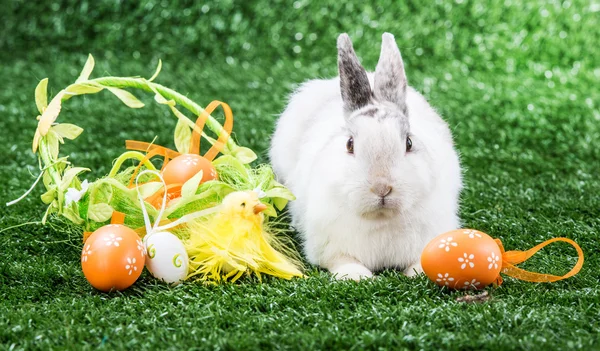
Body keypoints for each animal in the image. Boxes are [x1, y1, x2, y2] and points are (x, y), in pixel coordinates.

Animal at [270, 32, 462, 280]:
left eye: (409, 143)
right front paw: (356, 276)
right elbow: (342, 261)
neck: (380, 218)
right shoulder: (330, 246)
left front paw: (418, 272)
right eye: (350, 144)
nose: (382, 188)